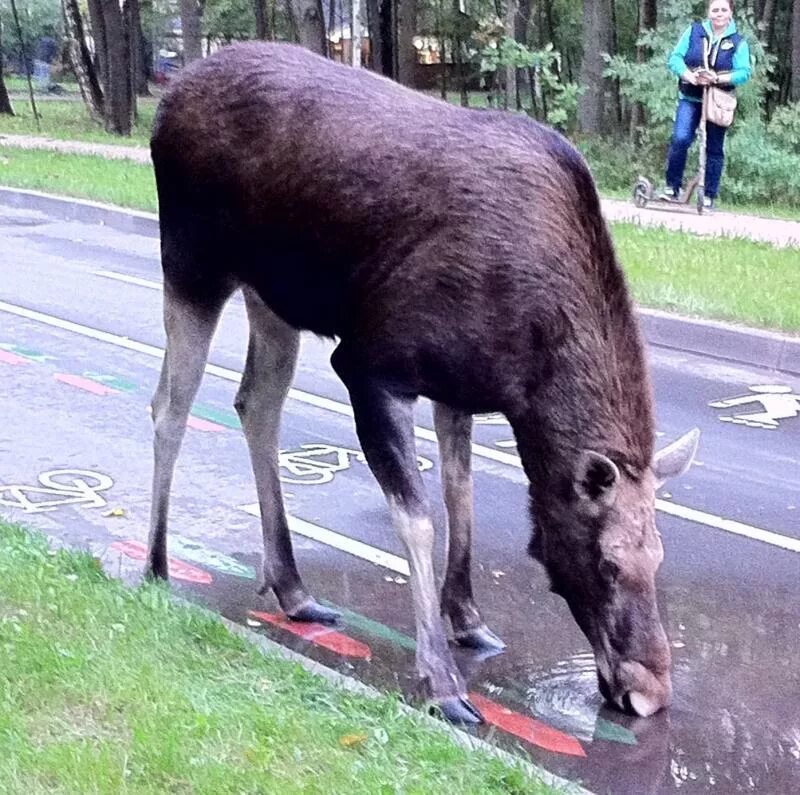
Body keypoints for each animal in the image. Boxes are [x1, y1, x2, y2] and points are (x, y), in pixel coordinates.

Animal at [150, 43, 700, 728]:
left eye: (660, 558)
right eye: (607, 561)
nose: (648, 691)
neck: (526, 377)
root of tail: (166, 100)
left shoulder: (459, 390)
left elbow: (459, 495)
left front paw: (467, 619)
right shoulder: (370, 366)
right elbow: (418, 520)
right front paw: (440, 679)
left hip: (272, 299)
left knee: (257, 405)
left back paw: (292, 587)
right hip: (192, 267)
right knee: (170, 405)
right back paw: (156, 564)